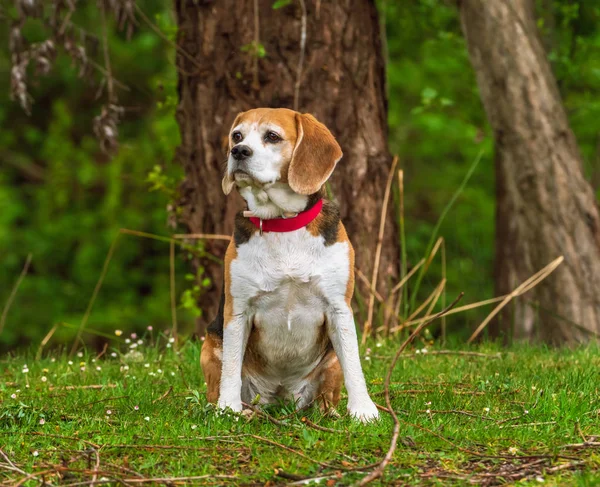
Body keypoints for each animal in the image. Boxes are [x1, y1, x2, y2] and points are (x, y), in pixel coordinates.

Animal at [202, 107, 380, 424]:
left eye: (272, 136)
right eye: (237, 135)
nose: (238, 151)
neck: (283, 224)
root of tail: (279, 395)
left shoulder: (339, 308)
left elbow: (354, 365)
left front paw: (363, 410)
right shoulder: (237, 312)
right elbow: (231, 369)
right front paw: (228, 408)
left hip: (330, 362)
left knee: (326, 393)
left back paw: (328, 412)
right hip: (210, 343)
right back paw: (239, 409)